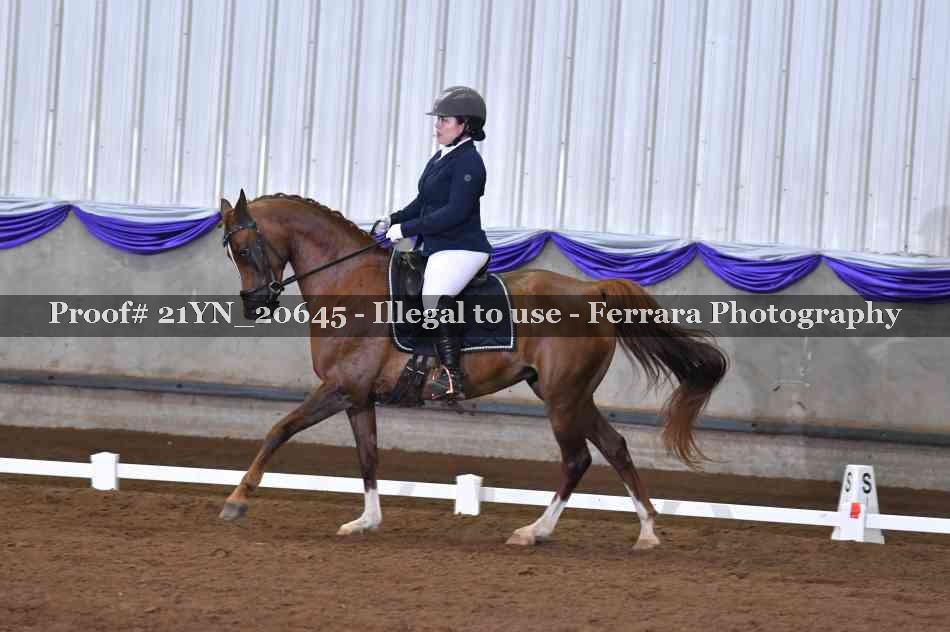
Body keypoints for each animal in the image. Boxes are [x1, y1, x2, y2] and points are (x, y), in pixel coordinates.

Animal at [218, 190, 728, 548]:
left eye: (243, 250)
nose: (254, 305)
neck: (349, 283)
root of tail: (591, 290)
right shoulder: (358, 397)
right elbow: (368, 456)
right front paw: (366, 521)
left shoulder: (339, 387)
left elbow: (280, 429)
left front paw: (237, 501)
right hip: (571, 395)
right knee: (615, 447)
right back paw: (646, 532)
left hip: (563, 398)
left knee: (577, 459)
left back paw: (534, 532)